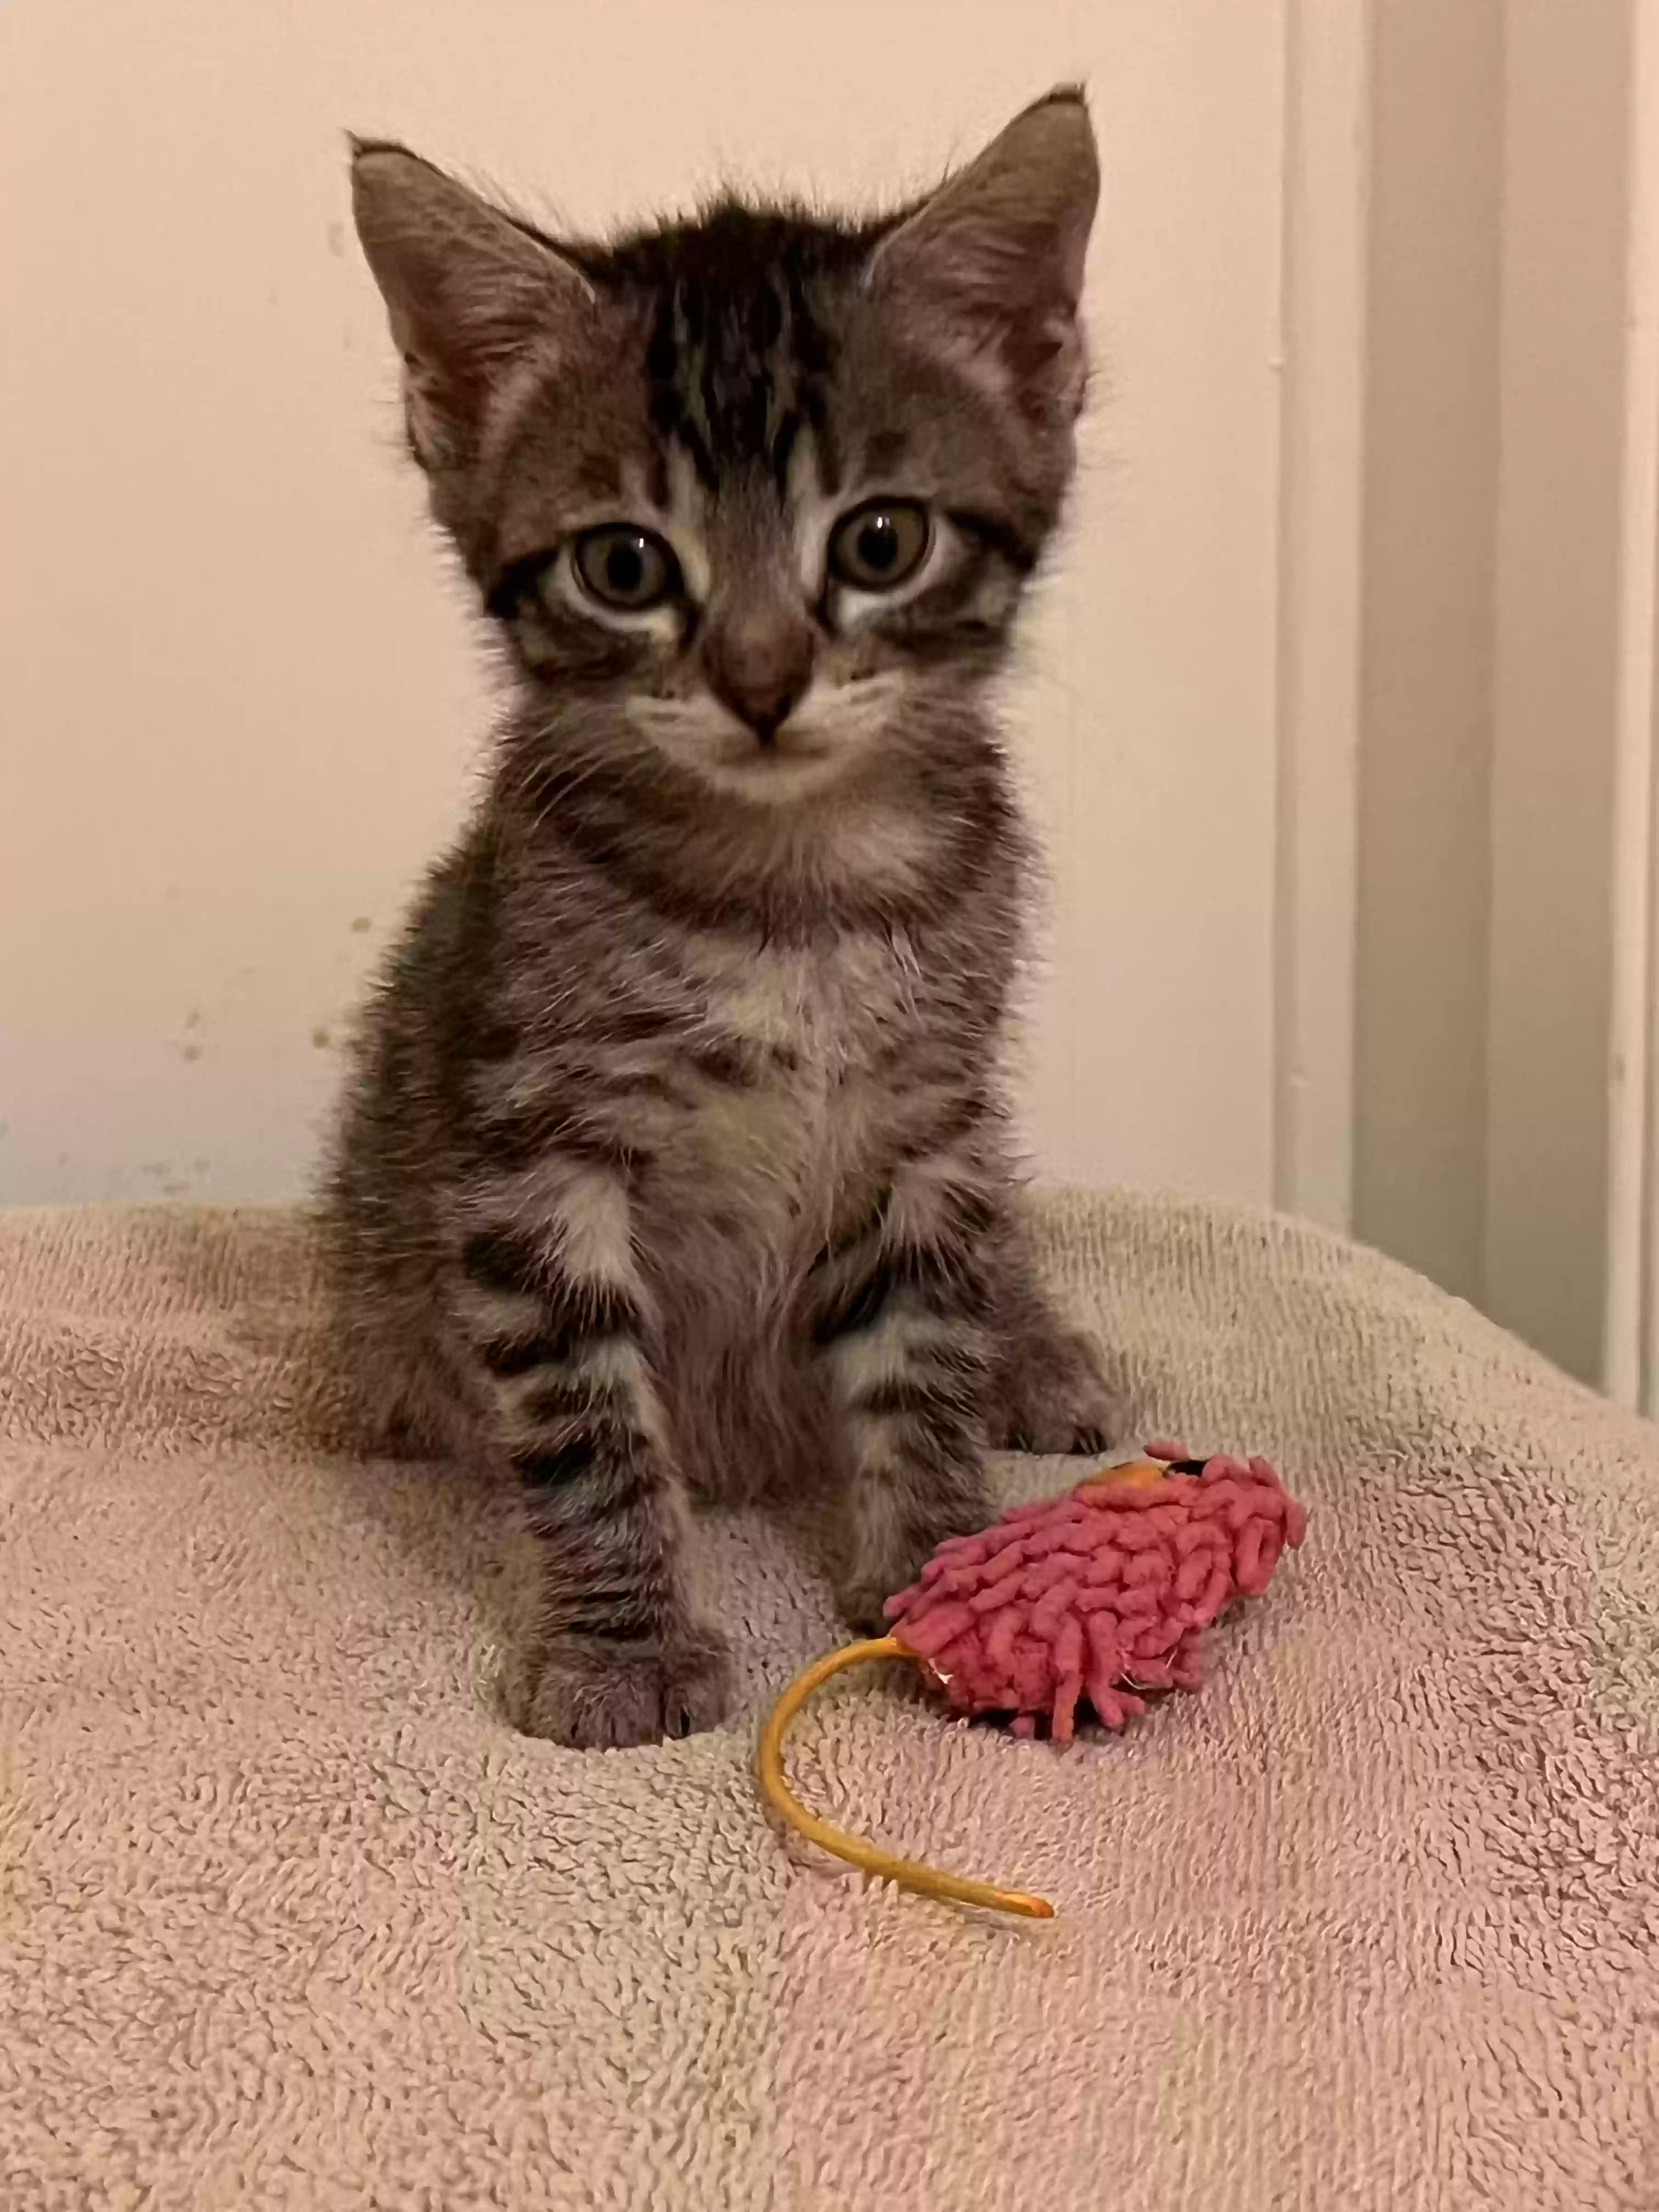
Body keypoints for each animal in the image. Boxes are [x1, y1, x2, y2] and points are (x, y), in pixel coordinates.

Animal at [327, 86, 1119, 1743]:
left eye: (879, 542)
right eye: (624, 565)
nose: (760, 684)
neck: (791, 891)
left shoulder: (927, 1122)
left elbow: (925, 1354)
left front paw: (949, 1574)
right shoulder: (531, 1151)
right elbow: (584, 1420)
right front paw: (620, 1647)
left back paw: (1035, 1349)